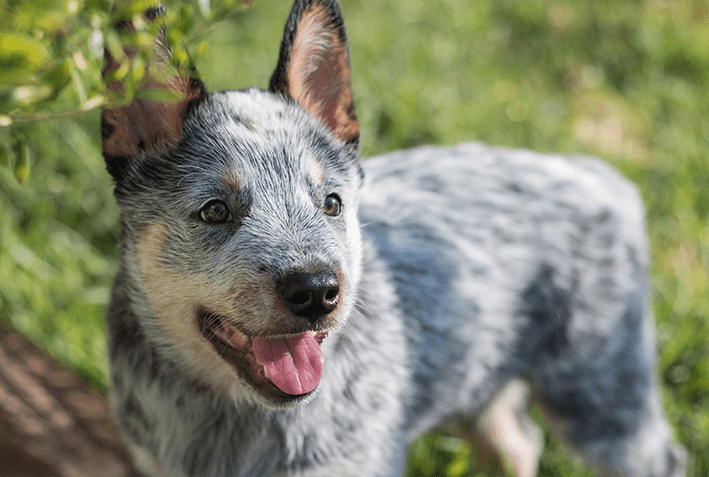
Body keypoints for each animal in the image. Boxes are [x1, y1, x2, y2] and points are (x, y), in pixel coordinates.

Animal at [101, 0, 684, 476]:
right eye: (216, 211)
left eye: (332, 203)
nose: (317, 290)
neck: (230, 418)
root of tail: (592, 170)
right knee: (518, 442)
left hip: (605, 398)